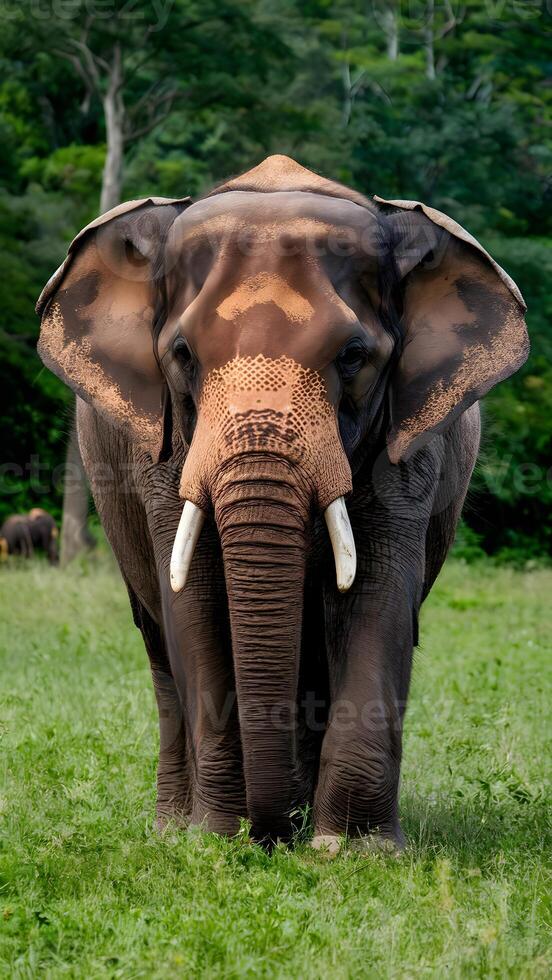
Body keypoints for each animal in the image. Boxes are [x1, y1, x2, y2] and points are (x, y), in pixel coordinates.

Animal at [35, 153, 532, 848]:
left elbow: (378, 589)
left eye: (353, 357)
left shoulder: (409, 439)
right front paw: (217, 839)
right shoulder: (160, 449)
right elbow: (194, 599)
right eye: (182, 355)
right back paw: (176, 829)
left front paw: (347, 850)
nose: (273, 833)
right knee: (158, 642)